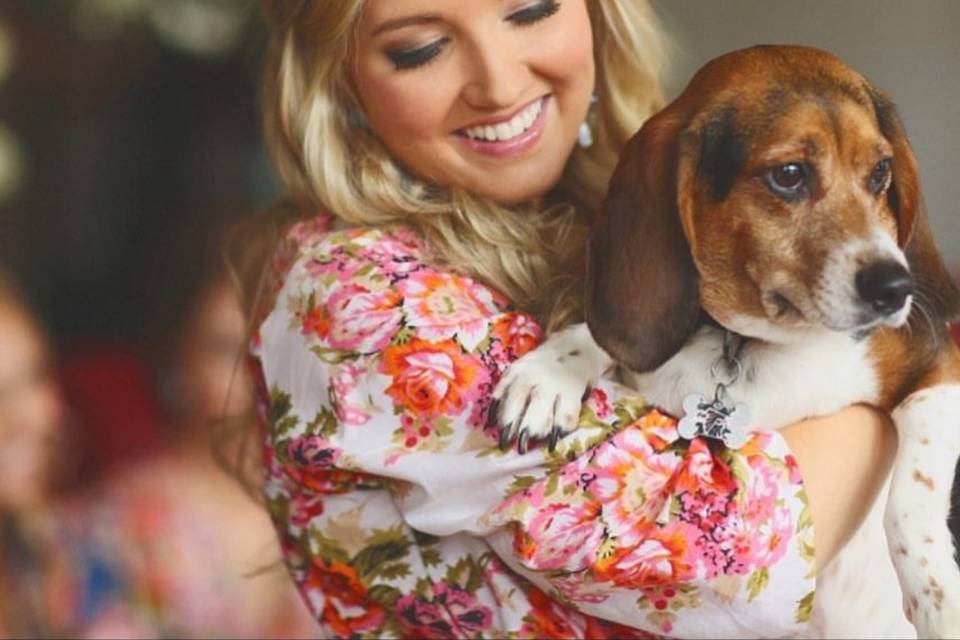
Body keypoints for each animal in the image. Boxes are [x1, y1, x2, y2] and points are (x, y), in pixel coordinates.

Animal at [496, 43, 960, 636]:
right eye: (789, 175)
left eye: (880, 172)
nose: (897, 287)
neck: (756, 341)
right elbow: (602, 337)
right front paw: (550, 372)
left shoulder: (938, 371)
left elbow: (908, 497)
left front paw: (938, 598)